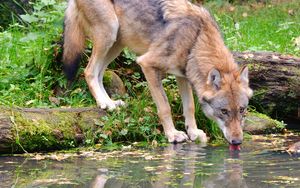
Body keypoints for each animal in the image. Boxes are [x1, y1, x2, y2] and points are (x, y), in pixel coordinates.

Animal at [62, 0, 253, 145]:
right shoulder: (147, 65)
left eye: (242, 110)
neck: (195, 40)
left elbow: (189, 107)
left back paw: (110, 103)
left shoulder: (182, 75)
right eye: (224, 111)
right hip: (109, 33)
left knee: (99, 73)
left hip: (116, 43)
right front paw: (173, 134)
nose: (237, 142)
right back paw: (104, 103)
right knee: (89, 71)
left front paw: (193, 132)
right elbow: (164, 107)